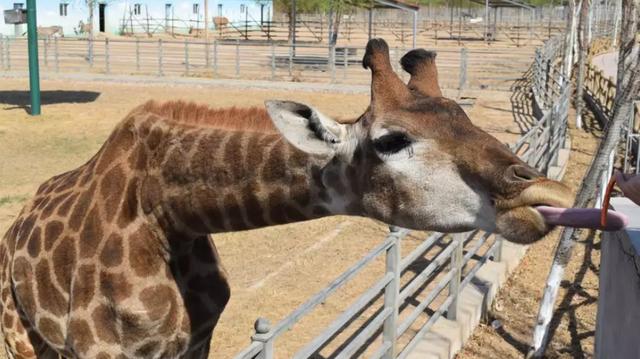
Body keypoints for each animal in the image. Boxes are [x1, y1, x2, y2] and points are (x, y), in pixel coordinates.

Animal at [0, 38, 576, 358]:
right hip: (21, 334)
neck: (167, 214)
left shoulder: (196, 341)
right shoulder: (97, 349)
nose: (547, 190)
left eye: (464, 114)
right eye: (391, 140)